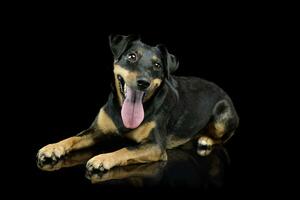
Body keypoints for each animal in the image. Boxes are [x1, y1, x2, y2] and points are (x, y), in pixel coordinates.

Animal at [37, 34, 239, 172]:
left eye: (157, 65)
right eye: (132, 56)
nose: (143, 82)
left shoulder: (155, 146)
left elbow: (126, 148)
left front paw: (102, 158)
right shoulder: (96, 131)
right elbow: (73, 138)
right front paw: (52, 147)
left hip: (222, 117)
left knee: (224, 136)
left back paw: (205, 139)